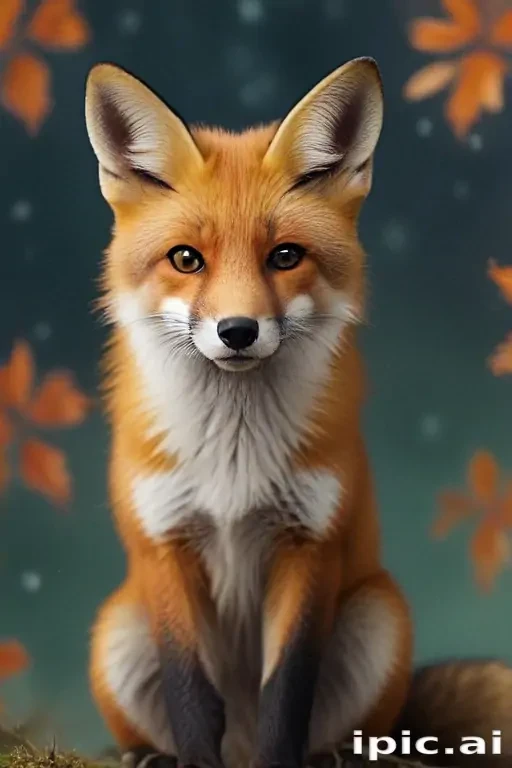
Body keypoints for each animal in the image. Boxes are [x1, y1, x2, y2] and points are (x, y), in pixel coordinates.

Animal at [84, 58, 512, 768]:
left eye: (284, 256)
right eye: (185, 259)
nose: (237, 331)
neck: (232, 458)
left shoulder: (308, 543)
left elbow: (286, 691)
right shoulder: (164, 544)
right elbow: (190, 695)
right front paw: (192, 758)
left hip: (377, 614)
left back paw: (336, 753)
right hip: (120, 624)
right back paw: (152, 753)